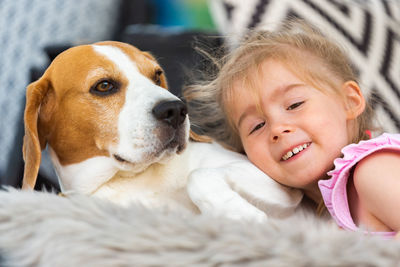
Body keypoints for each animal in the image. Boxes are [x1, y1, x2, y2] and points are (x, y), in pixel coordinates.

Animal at [23, 42, 302, 221]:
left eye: (156, 76)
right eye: (103, 86)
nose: (176, 110)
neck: (127, 180)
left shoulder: (277, 184)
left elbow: (197, 175)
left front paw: (238, 213)